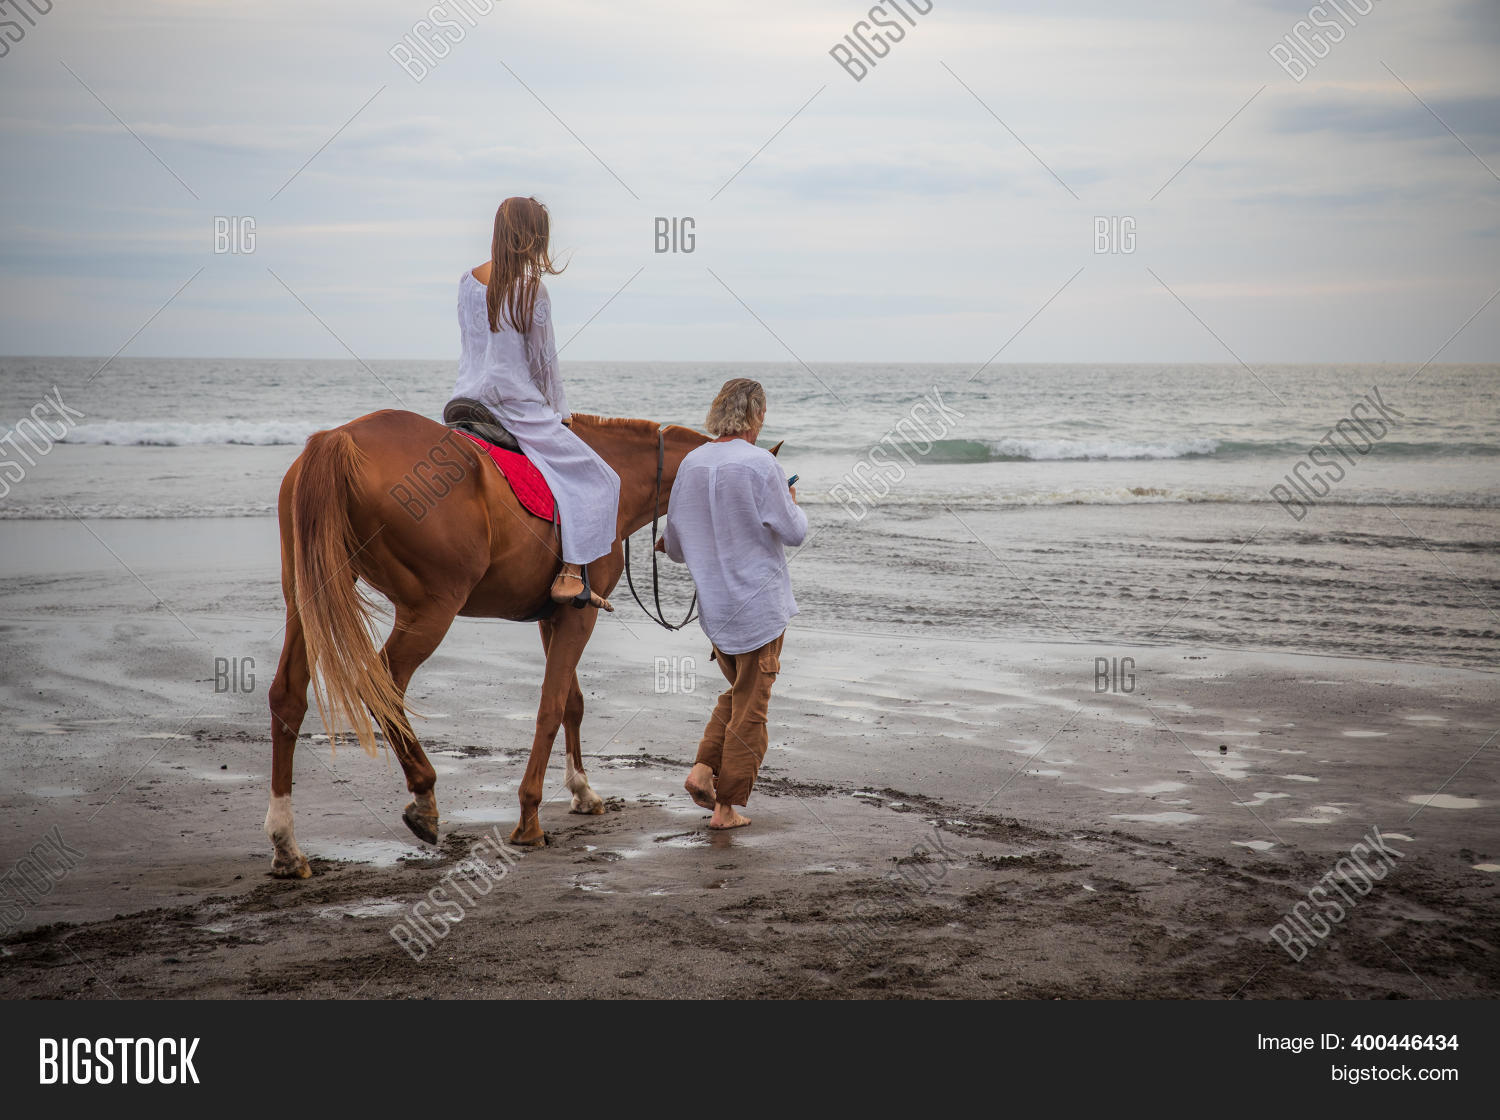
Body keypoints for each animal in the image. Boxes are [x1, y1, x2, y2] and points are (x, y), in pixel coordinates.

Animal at [263, 408, 710, 878]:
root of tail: (338, 438)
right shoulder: (578, 615)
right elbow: (551, 708)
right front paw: (530, 817)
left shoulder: (552, 617)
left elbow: (571, 703)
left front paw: (581, 790)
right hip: (431, 608)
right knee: (381, 683)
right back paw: (423, 794)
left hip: (308, 595)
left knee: (288, 697)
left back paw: (285, 842)